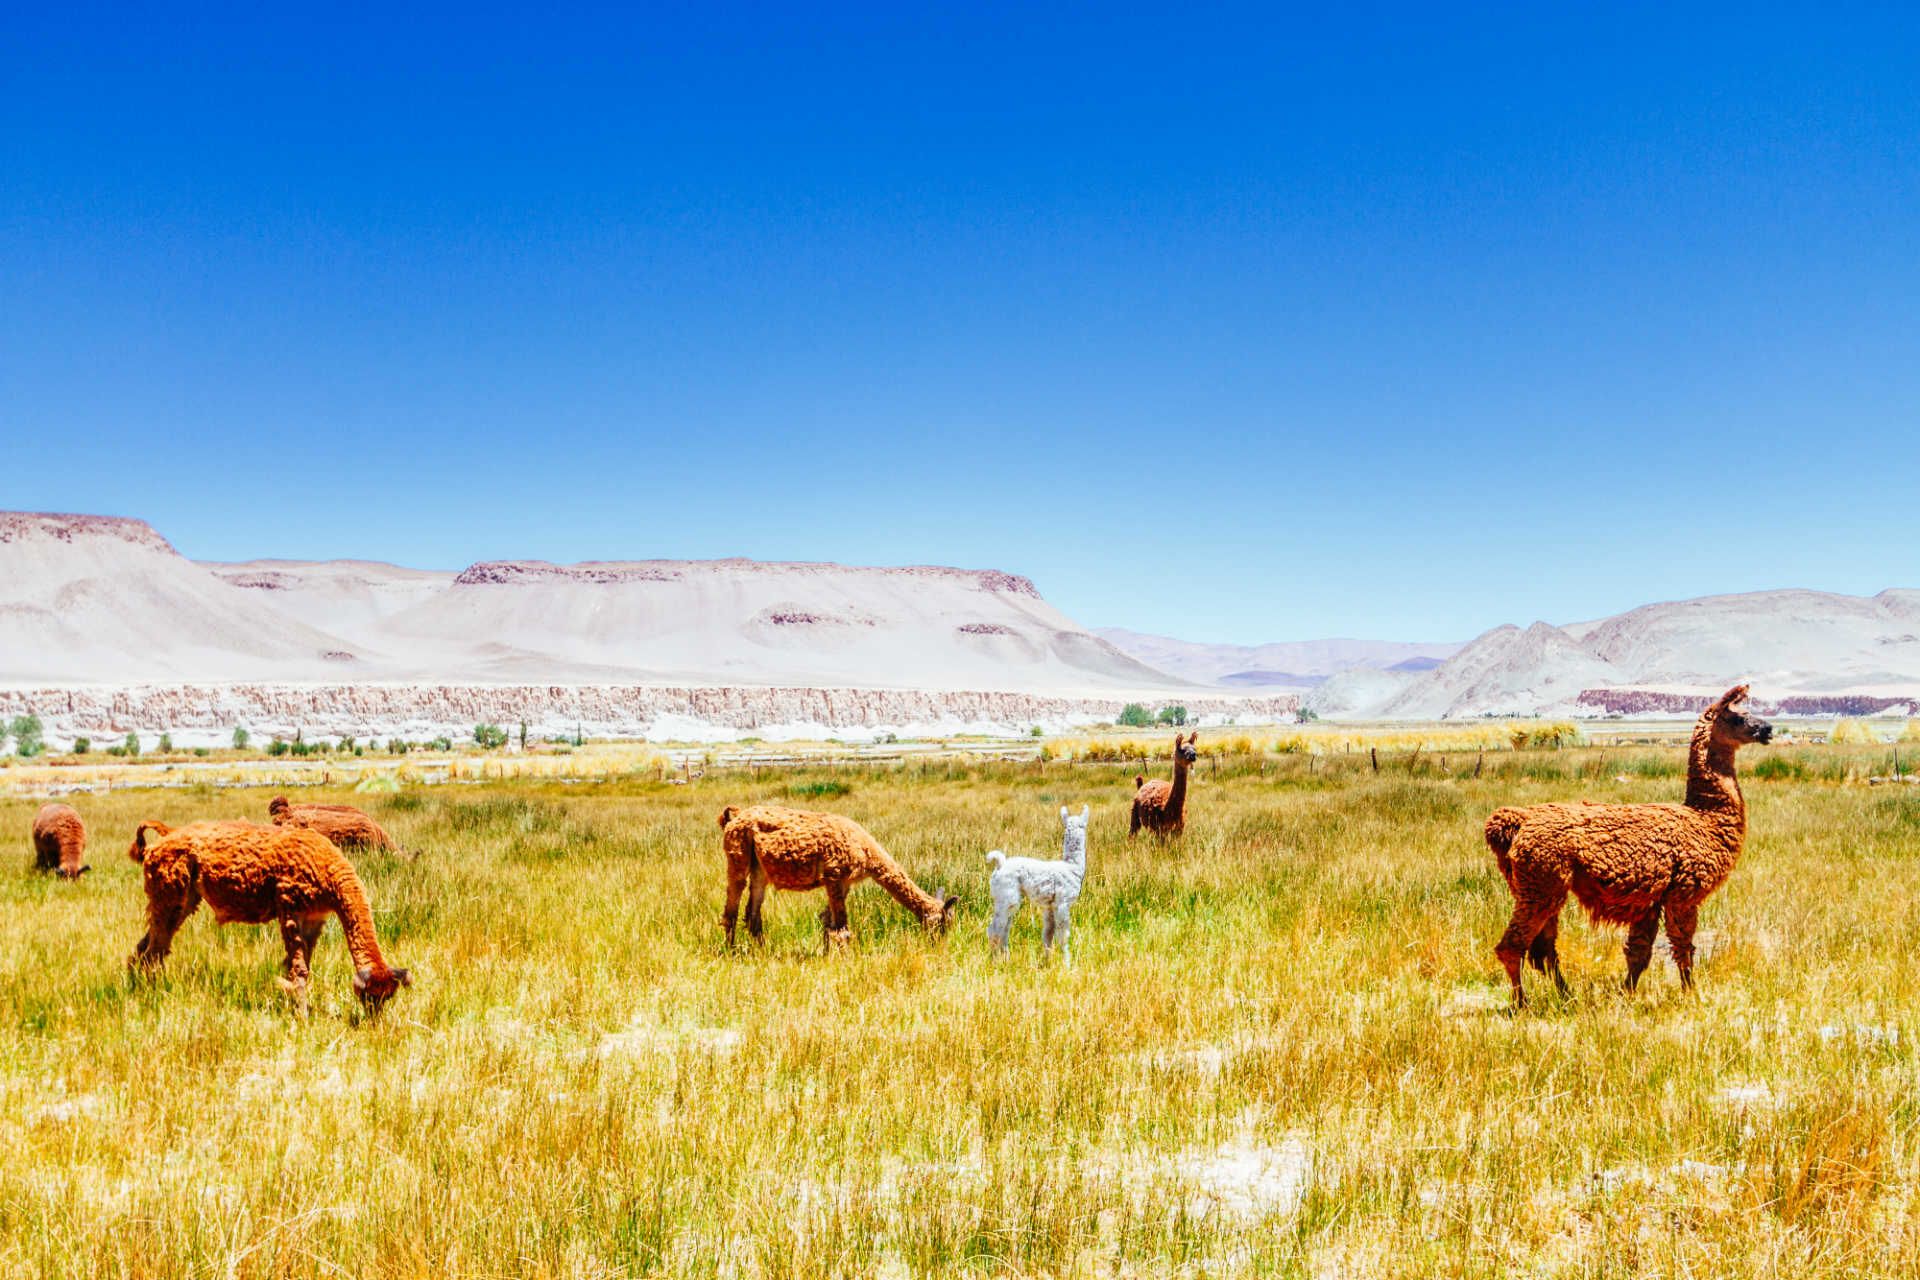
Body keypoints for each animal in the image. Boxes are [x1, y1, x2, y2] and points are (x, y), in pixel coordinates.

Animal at [127, 819, 411, 1016]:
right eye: (370, 996)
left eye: (387, 997)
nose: (374, 1019)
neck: (329, 872)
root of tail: (166, 834)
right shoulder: (290, 908)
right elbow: (299, 969)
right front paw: (302, 1017)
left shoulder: (315, 918)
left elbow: (300, 966)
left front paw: (293, 1005)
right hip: (170, 894)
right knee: (153, 951)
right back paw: (154, 994)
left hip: (180, 899)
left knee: (145, 947)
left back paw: (137, 986)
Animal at [718, 804, 957, 952]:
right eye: (942, 925)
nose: (939, 946)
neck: (865, 849)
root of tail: (734, 816)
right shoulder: (833, 875)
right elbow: (841, 928)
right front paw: (846, 961)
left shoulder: (845, 882)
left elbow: (827, 920)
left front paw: (826, 955)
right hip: (737, 856)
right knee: (731, 910)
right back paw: (731, 951)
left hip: (760, 869)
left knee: (752, 914)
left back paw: (762, 951)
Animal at [1484, 684, 1773, 1008]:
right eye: (1739, 717)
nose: (1768, 729)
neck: (1704, 818)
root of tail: (1517, 820)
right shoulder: (1683, 894)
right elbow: (1683, 947)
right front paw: (1691, 994)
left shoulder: (1650, 900)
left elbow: (1639, 954)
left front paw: (1627, 994)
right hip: (1541, 883)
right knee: (1512, 947)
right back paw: (1522, 1003)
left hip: (1540, 885)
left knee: (1543, 950)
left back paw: (1566, 995)